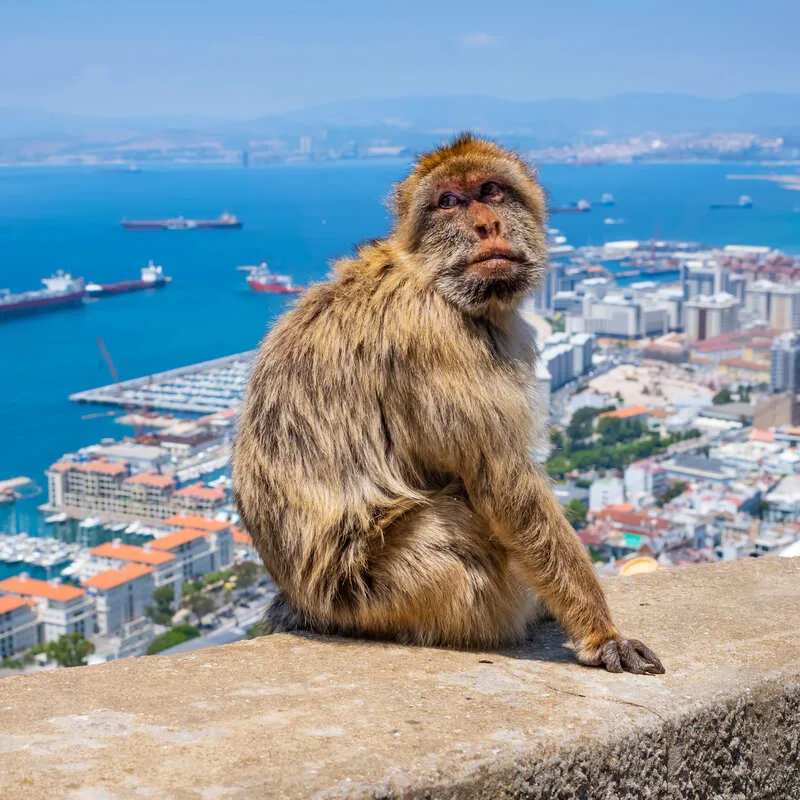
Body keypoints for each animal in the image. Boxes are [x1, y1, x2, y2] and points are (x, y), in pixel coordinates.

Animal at [233, 134, 664, 675]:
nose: (485, 225)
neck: (436, 280)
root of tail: (303, 602)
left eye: (491, 190)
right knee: (460, 518)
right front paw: (601, 633)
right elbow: (503, 485)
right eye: (449, 202)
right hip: (392, 589)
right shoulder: (437, 339)